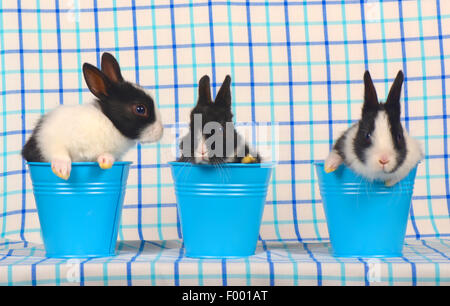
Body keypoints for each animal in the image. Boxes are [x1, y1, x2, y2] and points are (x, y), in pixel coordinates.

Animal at [22, 52, 163, 179]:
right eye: (140, 109)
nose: (161, 132)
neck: (108, 123)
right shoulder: (49, 137)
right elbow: (59, 152)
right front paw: (62, 170)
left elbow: (107, 156)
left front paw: (106, 161)